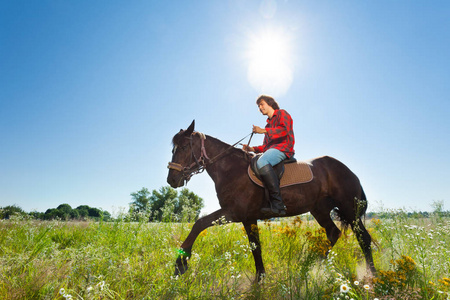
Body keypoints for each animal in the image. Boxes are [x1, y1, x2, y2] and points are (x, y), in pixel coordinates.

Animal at [167, 119, 374, 282]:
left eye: (184, 147)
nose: (171, 180)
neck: (231, 169)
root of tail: (348, 170)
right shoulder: (247, 217)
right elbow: (255, 247)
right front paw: (260, 279)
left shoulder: (233, 212)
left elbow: (199, 223)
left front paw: (180, 263)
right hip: (320, 210)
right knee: (333, 233)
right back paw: (312, 267)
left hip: (349, 208)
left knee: (363, 238)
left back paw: (370, 275)